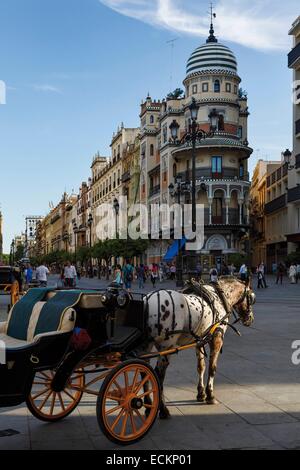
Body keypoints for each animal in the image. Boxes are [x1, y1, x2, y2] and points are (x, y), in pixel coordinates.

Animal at [144, 276, 255, 418]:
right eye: (251, 298)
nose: (250, 319)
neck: (220, 296)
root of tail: (146, 302)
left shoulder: (200, 339)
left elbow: (201, 366)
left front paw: (201, 393)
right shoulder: (217, 337)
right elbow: (212, 367)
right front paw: (210, 395)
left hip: (146, 346)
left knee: (144, 371)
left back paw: (148, 406)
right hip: (166, 347)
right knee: (158, 374)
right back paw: (163, 410)